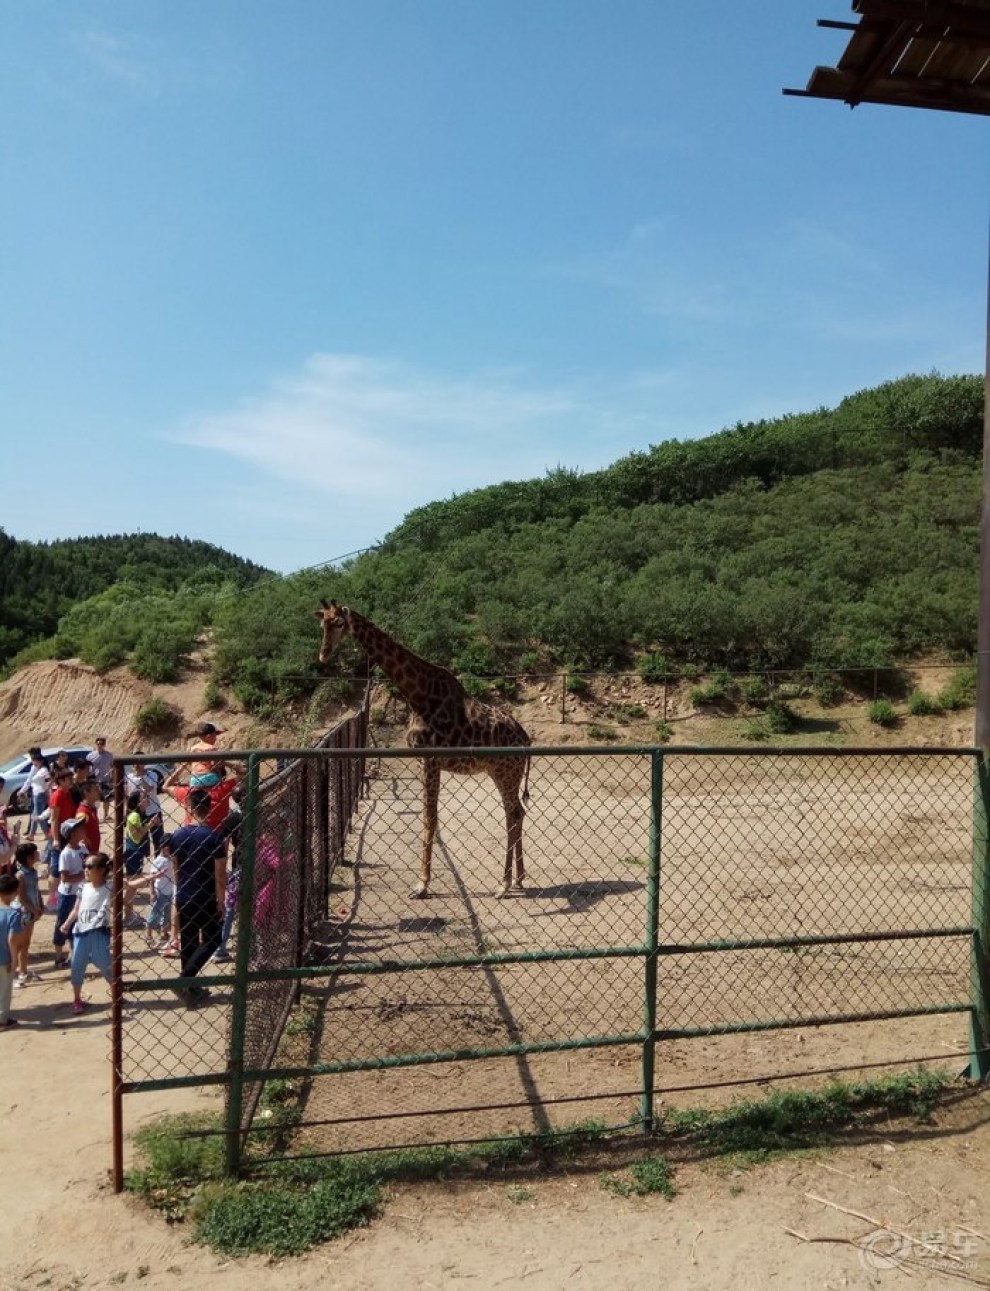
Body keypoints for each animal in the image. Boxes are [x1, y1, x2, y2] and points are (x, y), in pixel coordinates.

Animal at [317, 601, 534, 898]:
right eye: (322, 624)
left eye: (339, 623)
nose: (323, 655)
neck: (416, 694)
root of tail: (526, 739)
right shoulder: (423, 760)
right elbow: (427, 816)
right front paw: (422, 881)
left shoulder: (430, 758)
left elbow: (430, 818)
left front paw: (422, 884)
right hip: (499, 771)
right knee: (516, 813)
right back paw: (519, 878)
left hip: (507, 771)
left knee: (513, 813)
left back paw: (504, 884)